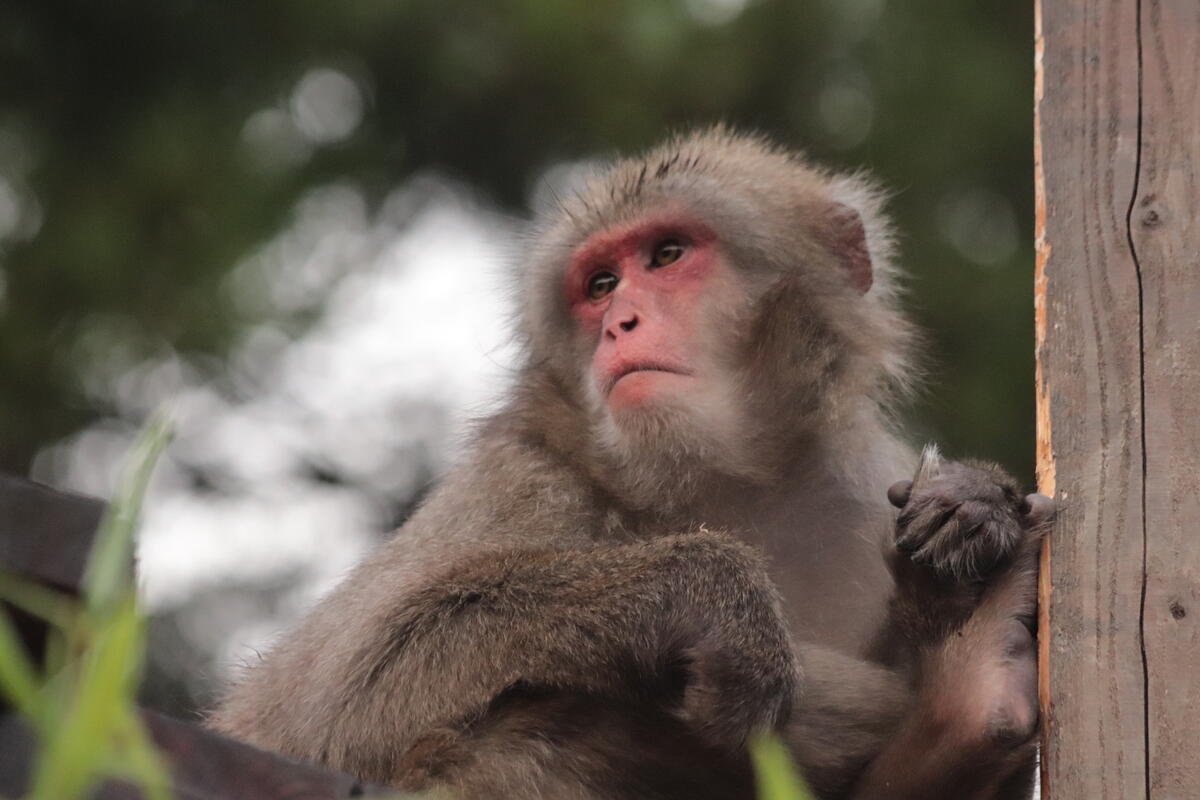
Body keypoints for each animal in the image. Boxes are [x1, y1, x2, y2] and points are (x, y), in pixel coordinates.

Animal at [208, 127, 1047, 798]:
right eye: (601, 284)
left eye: (667, 254)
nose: (620, 324)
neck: (726, 486)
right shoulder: (523, 477)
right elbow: (330, 711)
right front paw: (706, 591)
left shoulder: (864, 490)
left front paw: (972, 506)